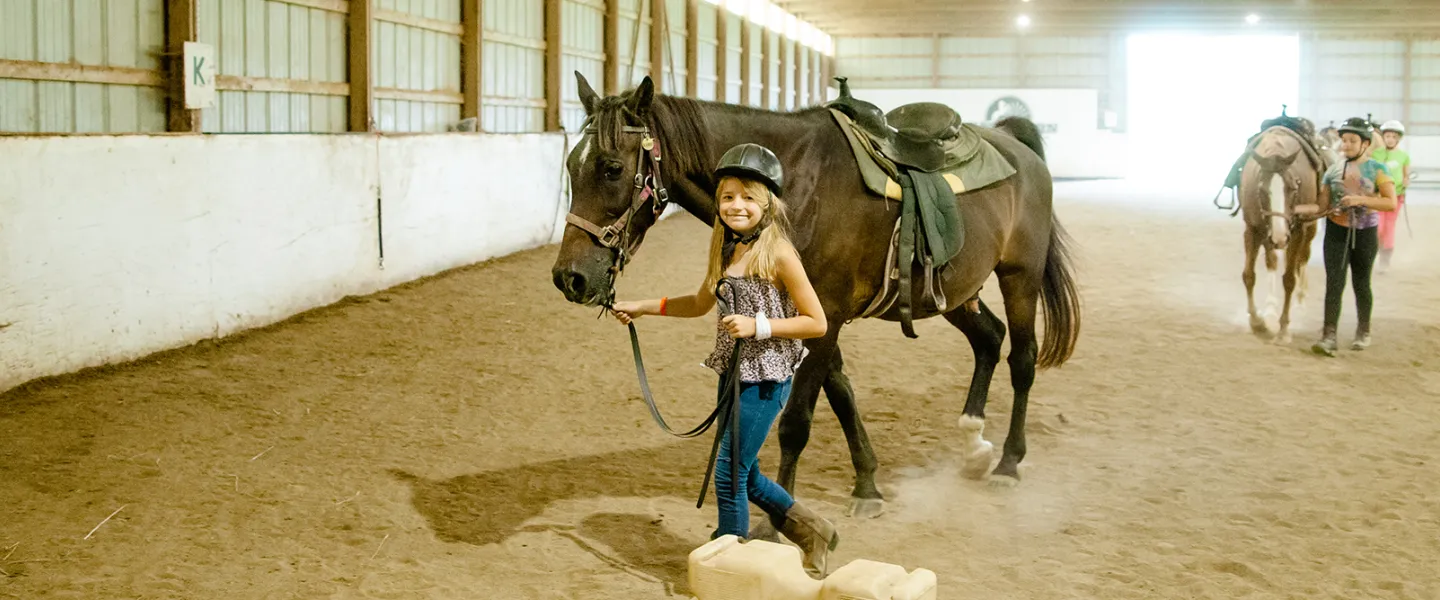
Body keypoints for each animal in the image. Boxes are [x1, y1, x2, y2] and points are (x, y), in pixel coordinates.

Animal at [550, 73, 1081, 520]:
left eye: (612, 168)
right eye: (571, 166)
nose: (568, 278)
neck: (795, 182)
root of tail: (1014, 144)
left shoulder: (825, 312)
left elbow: (797, 421)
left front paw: (777, 523)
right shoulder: (816, 316)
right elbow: (842, 393)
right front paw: (867, 486)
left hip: (1019, 275)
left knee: (1023, 359)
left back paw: (1008, 464)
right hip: (952, 293)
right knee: (989, 339)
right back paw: (974, 447)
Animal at [1238, 126, 1324, 344]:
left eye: (1293, 188)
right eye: (1261, 189)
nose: (1280, 236)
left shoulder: (1297, 232)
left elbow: (1289, 280)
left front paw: (1283, 330)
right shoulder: (1252, 230)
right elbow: (1248, 275)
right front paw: (1257, 321)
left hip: (1308, 230)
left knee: (1302, 259)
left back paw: (1300, 302)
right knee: (1273, 260)